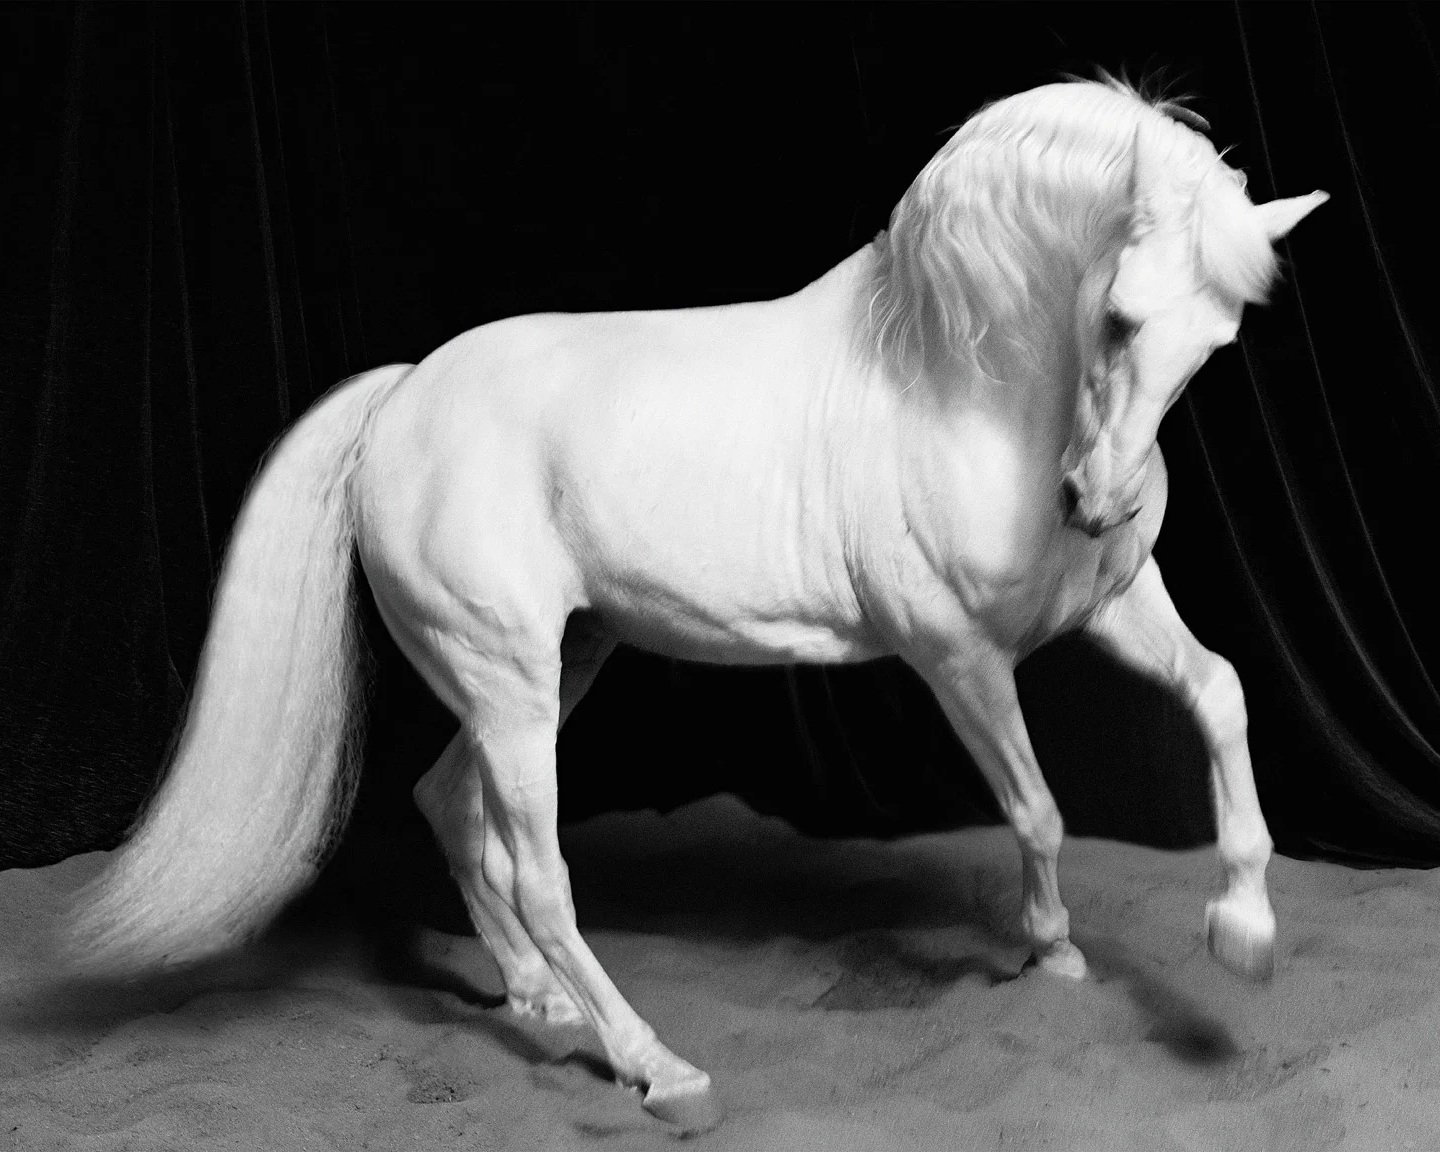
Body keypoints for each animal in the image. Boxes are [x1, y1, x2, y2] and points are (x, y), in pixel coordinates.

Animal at [67, 78, 1326, 1132]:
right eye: (1118, 316)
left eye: (1216, 338)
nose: (1099, 503)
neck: (962, 389)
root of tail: (401, 401)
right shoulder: (957, 657)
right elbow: (1039, 810)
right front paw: (1052, 954)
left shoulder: (1114, 606)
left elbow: (1222, 693)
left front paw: (1245, 930)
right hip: (508, 682)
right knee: (535, 870)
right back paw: (656, 1068)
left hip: (553, 667)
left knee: (448, 808)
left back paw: (536, 998)